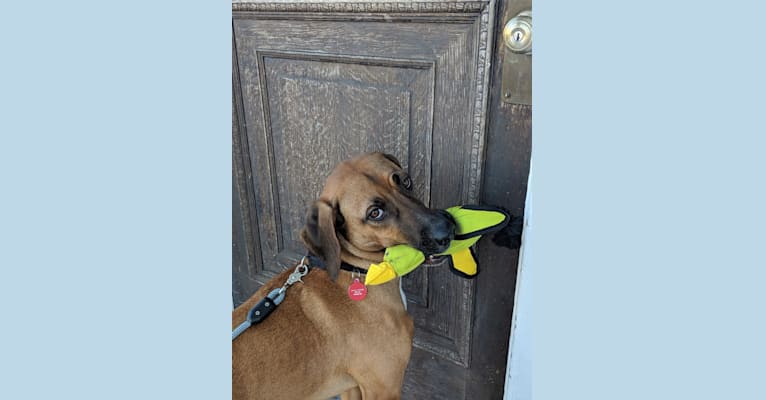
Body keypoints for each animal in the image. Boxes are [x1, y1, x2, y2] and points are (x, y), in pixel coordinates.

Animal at [232, 152, 456, 398]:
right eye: (375, 213)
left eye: (406, 182)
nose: (448, 228)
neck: (358, 270)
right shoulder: (383, 390)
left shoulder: (352, 387)